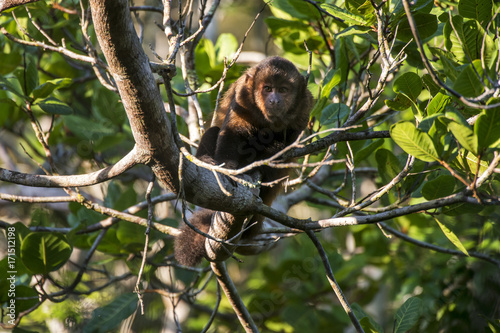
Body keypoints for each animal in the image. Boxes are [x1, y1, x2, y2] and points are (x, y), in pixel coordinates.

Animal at [174, 55, 310, 266]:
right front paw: (230, 169)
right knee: (214, 131)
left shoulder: (304, 107)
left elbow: (286, 146)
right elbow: (233, 132)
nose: (274, 100)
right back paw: (208, 162)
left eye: (283, 90)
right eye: (267, 88)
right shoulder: (243, 98)